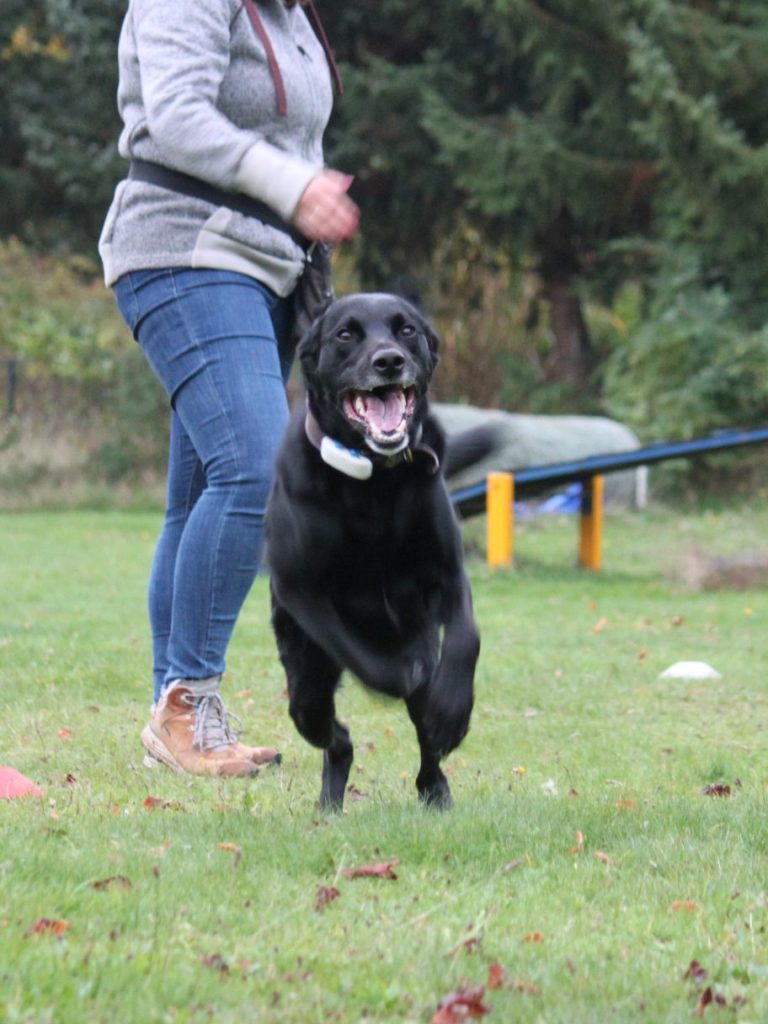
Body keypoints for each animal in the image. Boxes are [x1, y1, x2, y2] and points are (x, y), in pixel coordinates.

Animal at [266, 292, 481, 811]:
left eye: (407, 330)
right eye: (346, 334)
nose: (389, 361)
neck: (373, 483)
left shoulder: (448, 574)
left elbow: (466, 638)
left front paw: (453, 710)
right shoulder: (302, 591)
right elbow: (361, 655)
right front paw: (400, 671)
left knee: (424, 737)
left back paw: (435, 785)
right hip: (303, 676)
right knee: (326, 727)